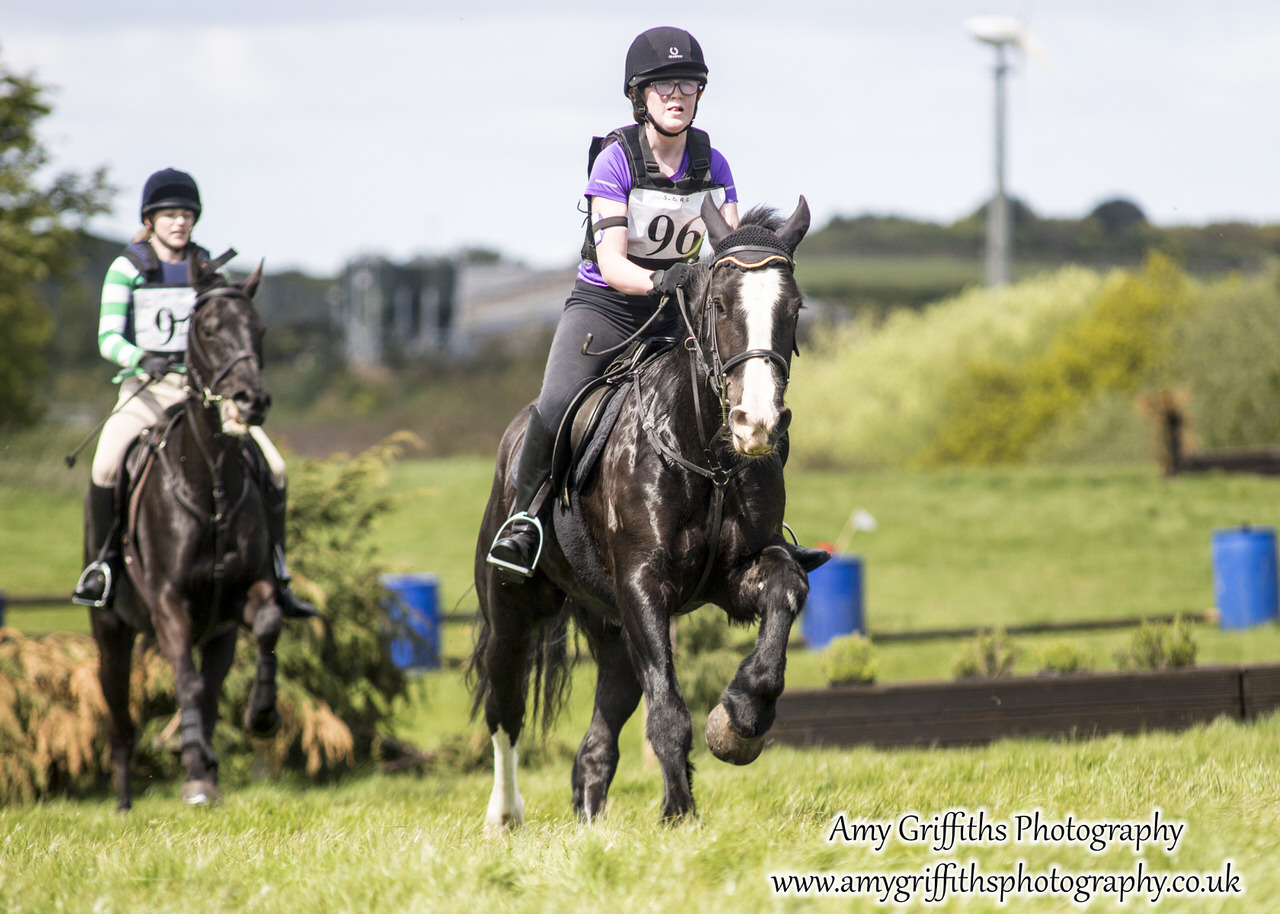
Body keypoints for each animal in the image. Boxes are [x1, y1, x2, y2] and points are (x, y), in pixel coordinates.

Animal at [90, 256, 288, 803]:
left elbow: (268, 627)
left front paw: (262, 716)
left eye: (259, 329)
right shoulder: (169, 603)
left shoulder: (246, 593)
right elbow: (186, 682)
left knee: (213, 687)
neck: (211, 486)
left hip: (218, 632)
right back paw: (125, 800)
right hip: (111, 629)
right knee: (120, 714)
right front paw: (195, 770)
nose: (252, 400)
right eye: (207, 329)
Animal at [473, 195, 829, 829]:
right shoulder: (643, 584)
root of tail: (512, 437)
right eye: (719, 304)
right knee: (505, 706)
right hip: (513, 609)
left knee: (597, 739)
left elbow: (786, 588)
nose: (757, 425)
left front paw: (739, 721)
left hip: (611, 626)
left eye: (795, 307)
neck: (707, 455)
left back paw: (590, 822)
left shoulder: (733, 576)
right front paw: (680, 814)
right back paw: (505, 815)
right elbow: (668, 712)